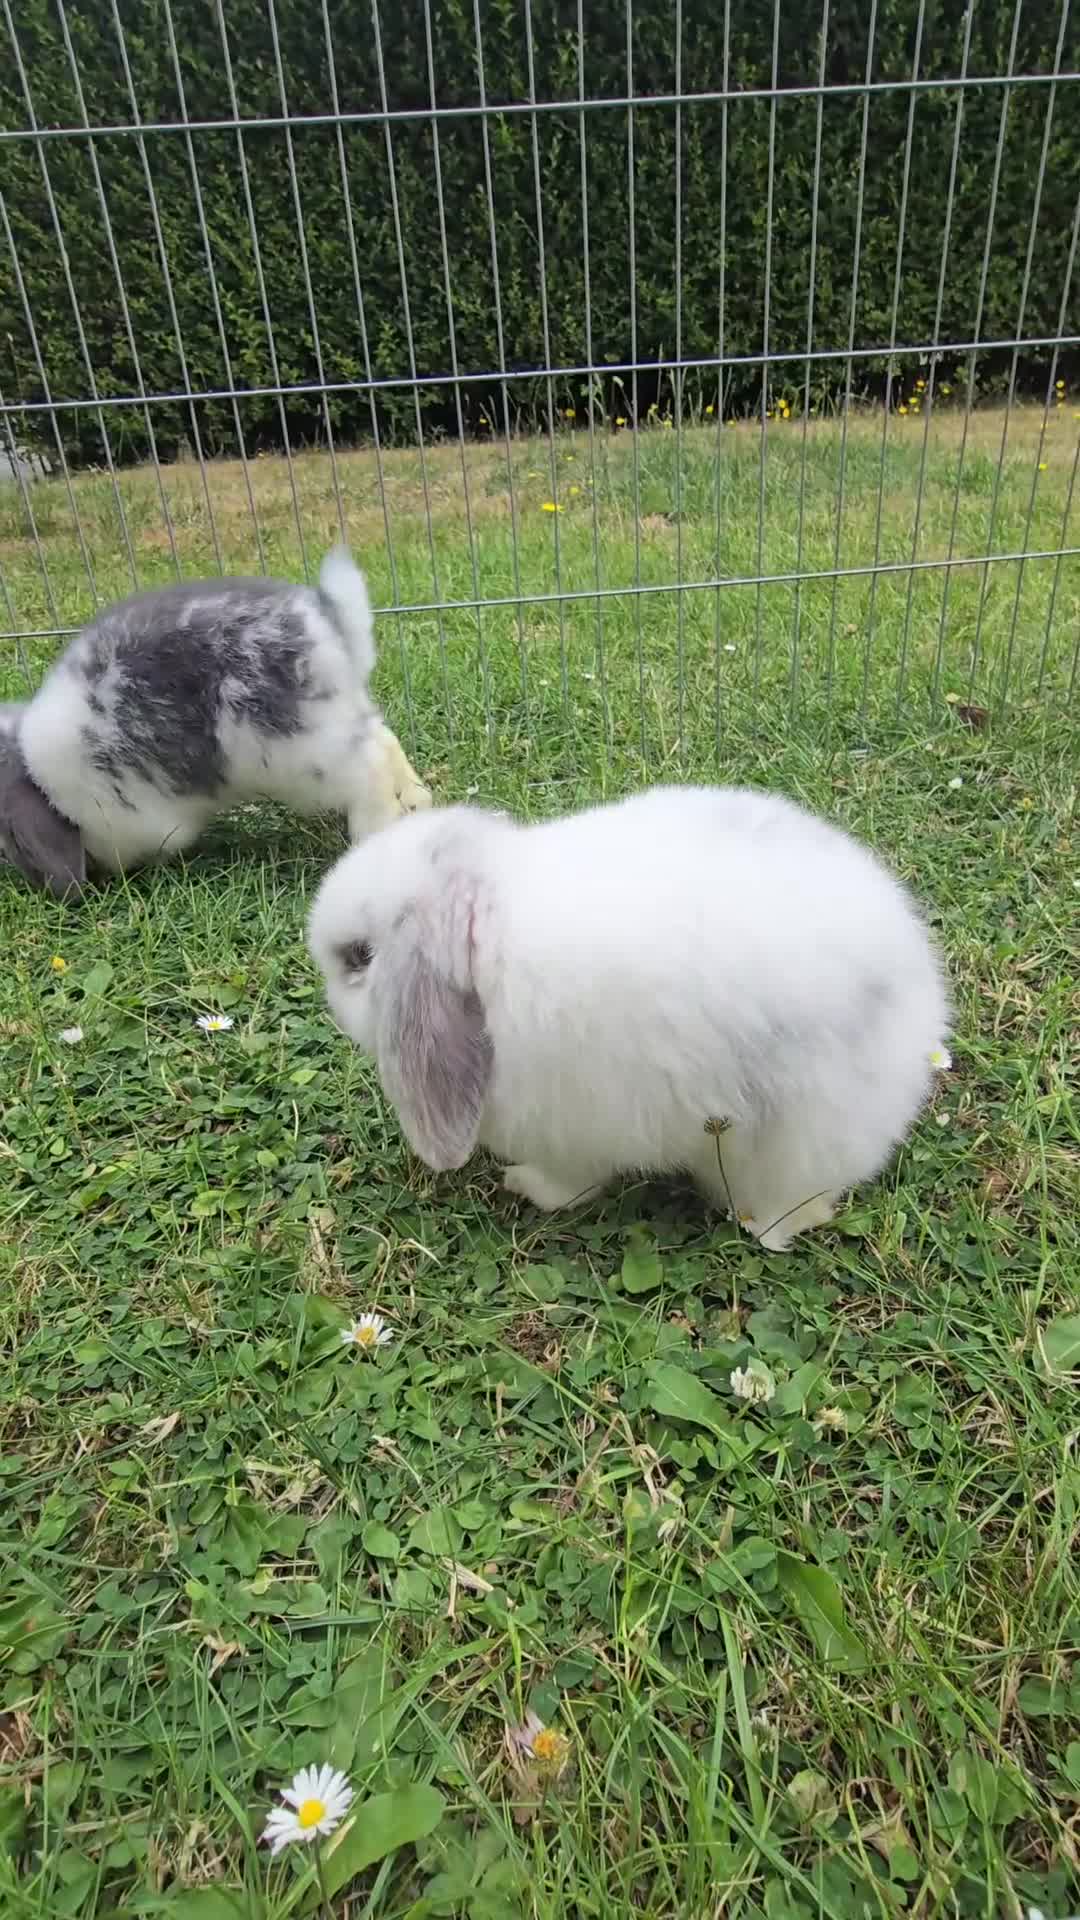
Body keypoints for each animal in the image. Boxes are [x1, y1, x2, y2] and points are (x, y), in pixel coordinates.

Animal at [0, 546, 431, 901]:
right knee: (384, 739)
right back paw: (415, 801)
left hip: (308, 757)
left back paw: (370, 834)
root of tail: (327, 622)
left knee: (370, 767)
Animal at [307, 783, 949, 1252]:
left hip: (792, 1142)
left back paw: (755, 1226)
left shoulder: (569, 1130)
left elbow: (569, 1184)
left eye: (358, 956)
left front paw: (525, 1185)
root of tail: (920, 1001)